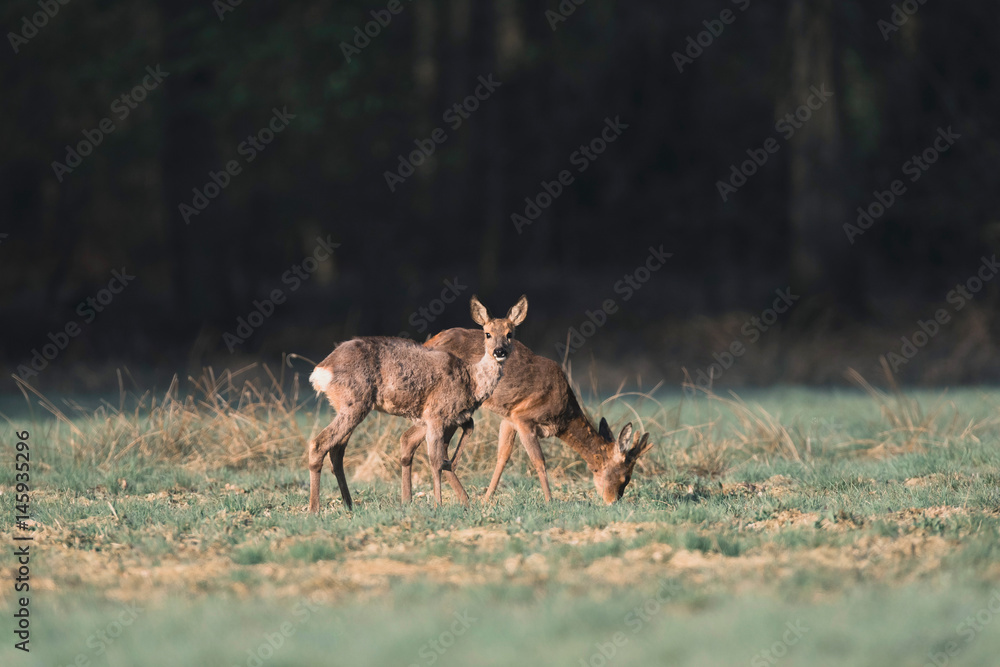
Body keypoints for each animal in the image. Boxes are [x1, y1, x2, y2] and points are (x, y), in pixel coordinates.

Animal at [307, 295, 528, 513]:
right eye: (487, 334)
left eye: (509, 334)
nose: (499, 351)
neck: (471, 380)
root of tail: (320, 371)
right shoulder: (435, 414)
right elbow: (435, 460)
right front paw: (439, 504)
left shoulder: (442, 417)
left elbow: (453, 440)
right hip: (354, 404)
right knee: (319, 444)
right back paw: (314, 509)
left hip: (346, 406)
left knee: (336, 450)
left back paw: (349, 504)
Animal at [400, 328, 653, 505]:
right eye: (625, 477)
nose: (613, 501)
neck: (563, 416)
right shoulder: (524, 417)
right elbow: (538, 460)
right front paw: (550, 501)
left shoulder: (509, 419)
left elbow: (502, 456)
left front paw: (487, 500)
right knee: (433, 446)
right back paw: (458, 498)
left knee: (410, 439)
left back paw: (411, 500)